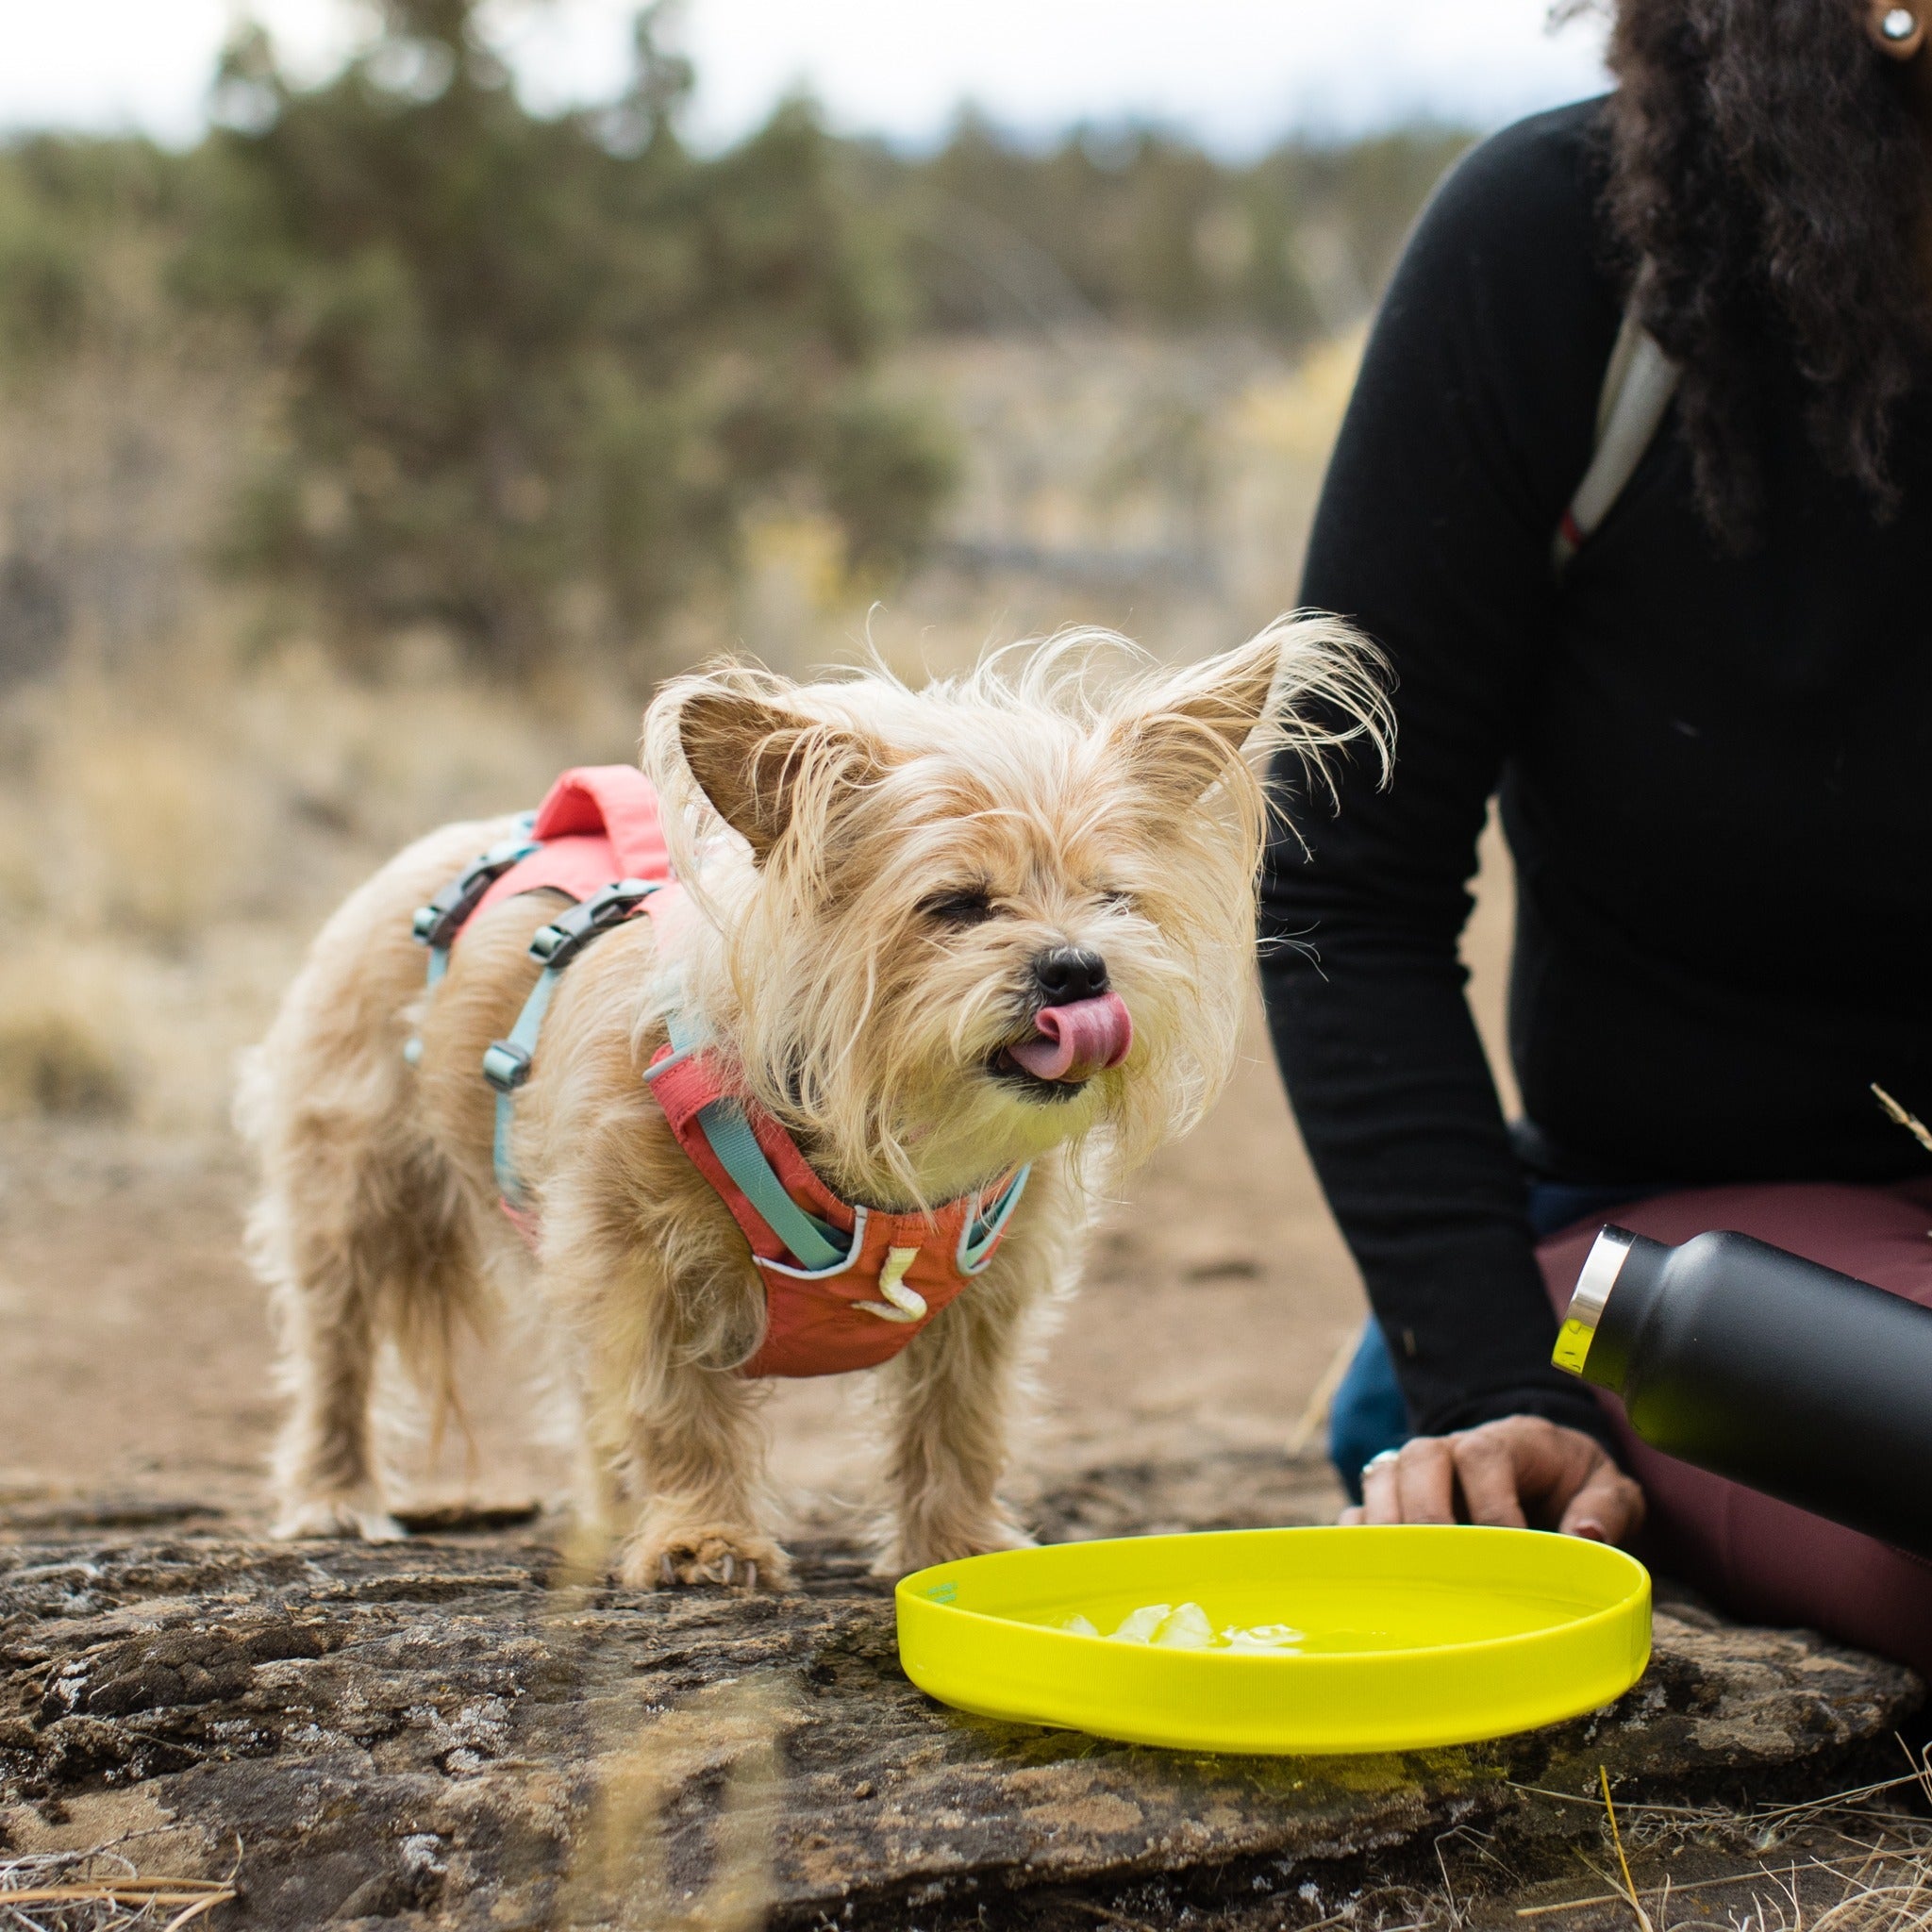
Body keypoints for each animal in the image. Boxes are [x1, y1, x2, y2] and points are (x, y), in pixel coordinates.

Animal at [242, 625, 1383, 1591]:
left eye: (1114, 900)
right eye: (956, 905)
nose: (1078, 968)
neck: (880, 1131)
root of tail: (458, 839)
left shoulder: (987, 1295)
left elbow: (958, 1418)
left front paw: (956, 1543)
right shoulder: (633, 1263)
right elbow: (673, 1408)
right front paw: (703, 1538)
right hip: (354, 1188)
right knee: (337, 1344)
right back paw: (338, 1496)